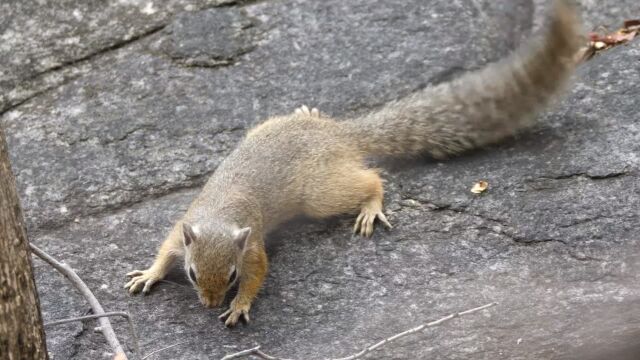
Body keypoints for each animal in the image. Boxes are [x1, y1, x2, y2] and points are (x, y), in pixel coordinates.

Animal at [122, 0, 584, 326]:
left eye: (231, 277)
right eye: (192, 274)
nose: (208, 304)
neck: (219, 216)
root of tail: (339, 135)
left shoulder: (251, 249)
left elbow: (260, 273)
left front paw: (239, 306)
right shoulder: (182, 228)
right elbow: (164, 249)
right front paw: (148, 274)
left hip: (318, 195)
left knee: (371, 178)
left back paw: (371, 206)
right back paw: (309, 110)